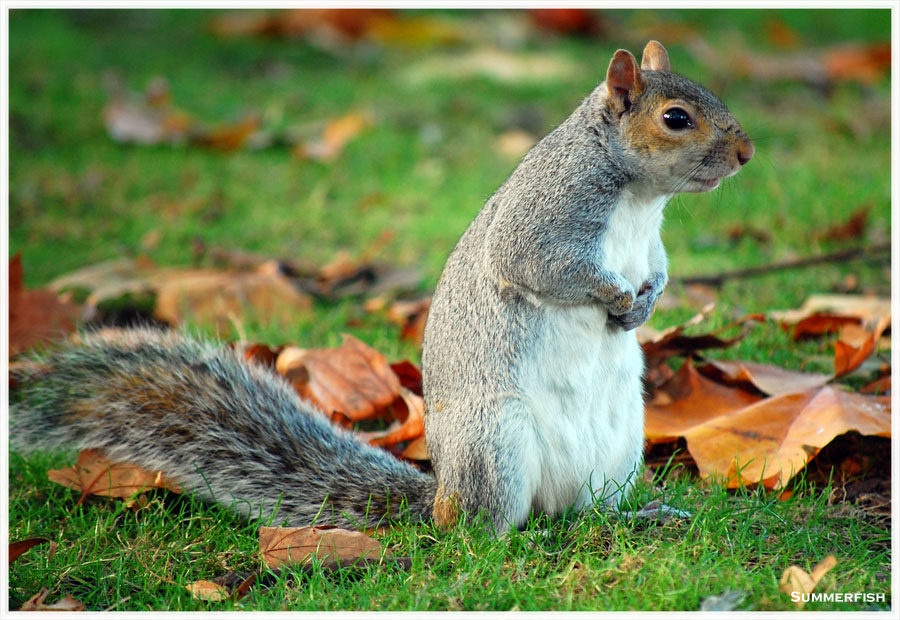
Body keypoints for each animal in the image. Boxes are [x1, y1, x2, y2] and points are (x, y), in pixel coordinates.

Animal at [10, 42, 752, 536]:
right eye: (677, 118)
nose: (746, 154)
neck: (638, 197)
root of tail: (442, 495)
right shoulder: (543, 221)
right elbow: (543, 267)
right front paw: (618, 299)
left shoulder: (650, 243)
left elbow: (660, 266)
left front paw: (646, 300)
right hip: (498, 441)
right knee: (486, 531)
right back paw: (515, 533)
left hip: (620, 446)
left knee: (581, 512)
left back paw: (639, 515)